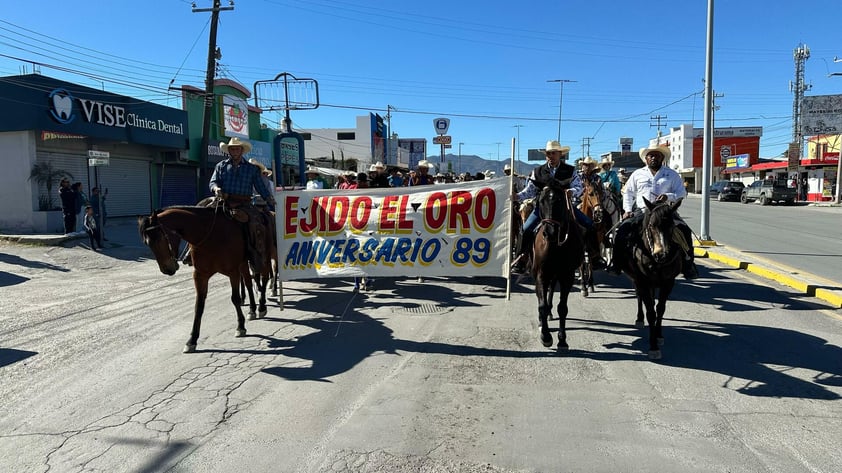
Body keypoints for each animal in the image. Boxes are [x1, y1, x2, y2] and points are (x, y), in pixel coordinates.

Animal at [137, 205, 266, 352]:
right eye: (147, 243)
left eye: (159, 239)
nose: (167, 269)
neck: (210, 235)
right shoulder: (200, 275)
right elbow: (199, 306)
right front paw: (192, 340)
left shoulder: (233, 272)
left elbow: (235, 299)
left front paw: (240, 326)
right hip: (243, 264)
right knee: (248, 282)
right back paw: (252, 309)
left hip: (244, 263)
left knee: (249, 283)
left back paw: (257, 309)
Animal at [532, 177, 584, 350]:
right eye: (541, 200)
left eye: (560, 200)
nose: (550, 232)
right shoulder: (541, 274)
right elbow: (541, 304)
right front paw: (546, 335)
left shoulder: (567, 276)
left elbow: (562, 308)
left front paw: (562, 339)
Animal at [616, 197, 684, 360]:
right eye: (652, 225)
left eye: (671, 225)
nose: (662, 254)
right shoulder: (643, 281)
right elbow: (651, 313)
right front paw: (653, 347)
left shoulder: (668, 282)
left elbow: (660, 309)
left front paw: (658, 336)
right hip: (637, 281)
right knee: (639, 296)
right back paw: (640, 319)